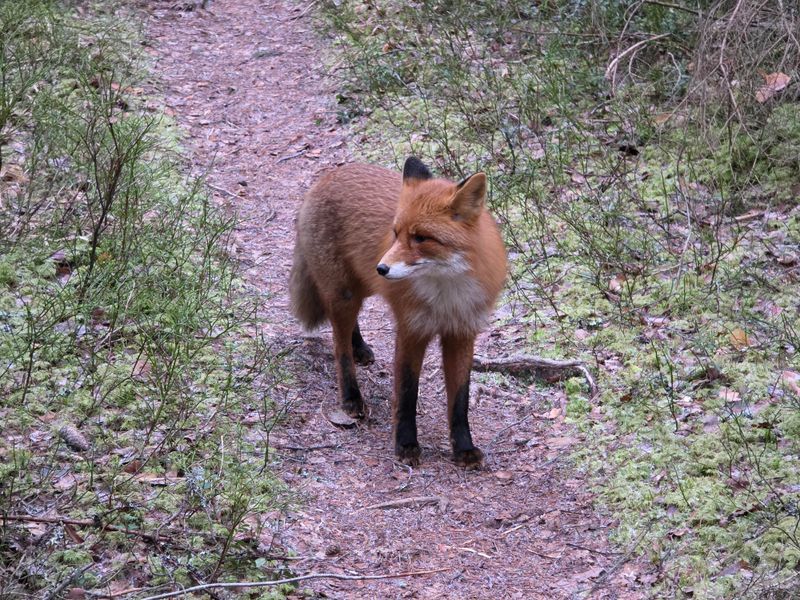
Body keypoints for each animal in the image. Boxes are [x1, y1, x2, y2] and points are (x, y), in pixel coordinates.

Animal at [289, 157, 507, 469]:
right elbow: (406, 393)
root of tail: (328, 176)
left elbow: (460, 400)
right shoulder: (411, 330)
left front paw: (464, 449)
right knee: (339, 346)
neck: (447, 295)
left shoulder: (462, 333)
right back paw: (351, 397)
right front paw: (406, 445)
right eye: (395, 233)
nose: (382, 268)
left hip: (363, 287)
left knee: (348, 327)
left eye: (421, 238)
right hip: (345, 294)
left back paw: (359, 347)